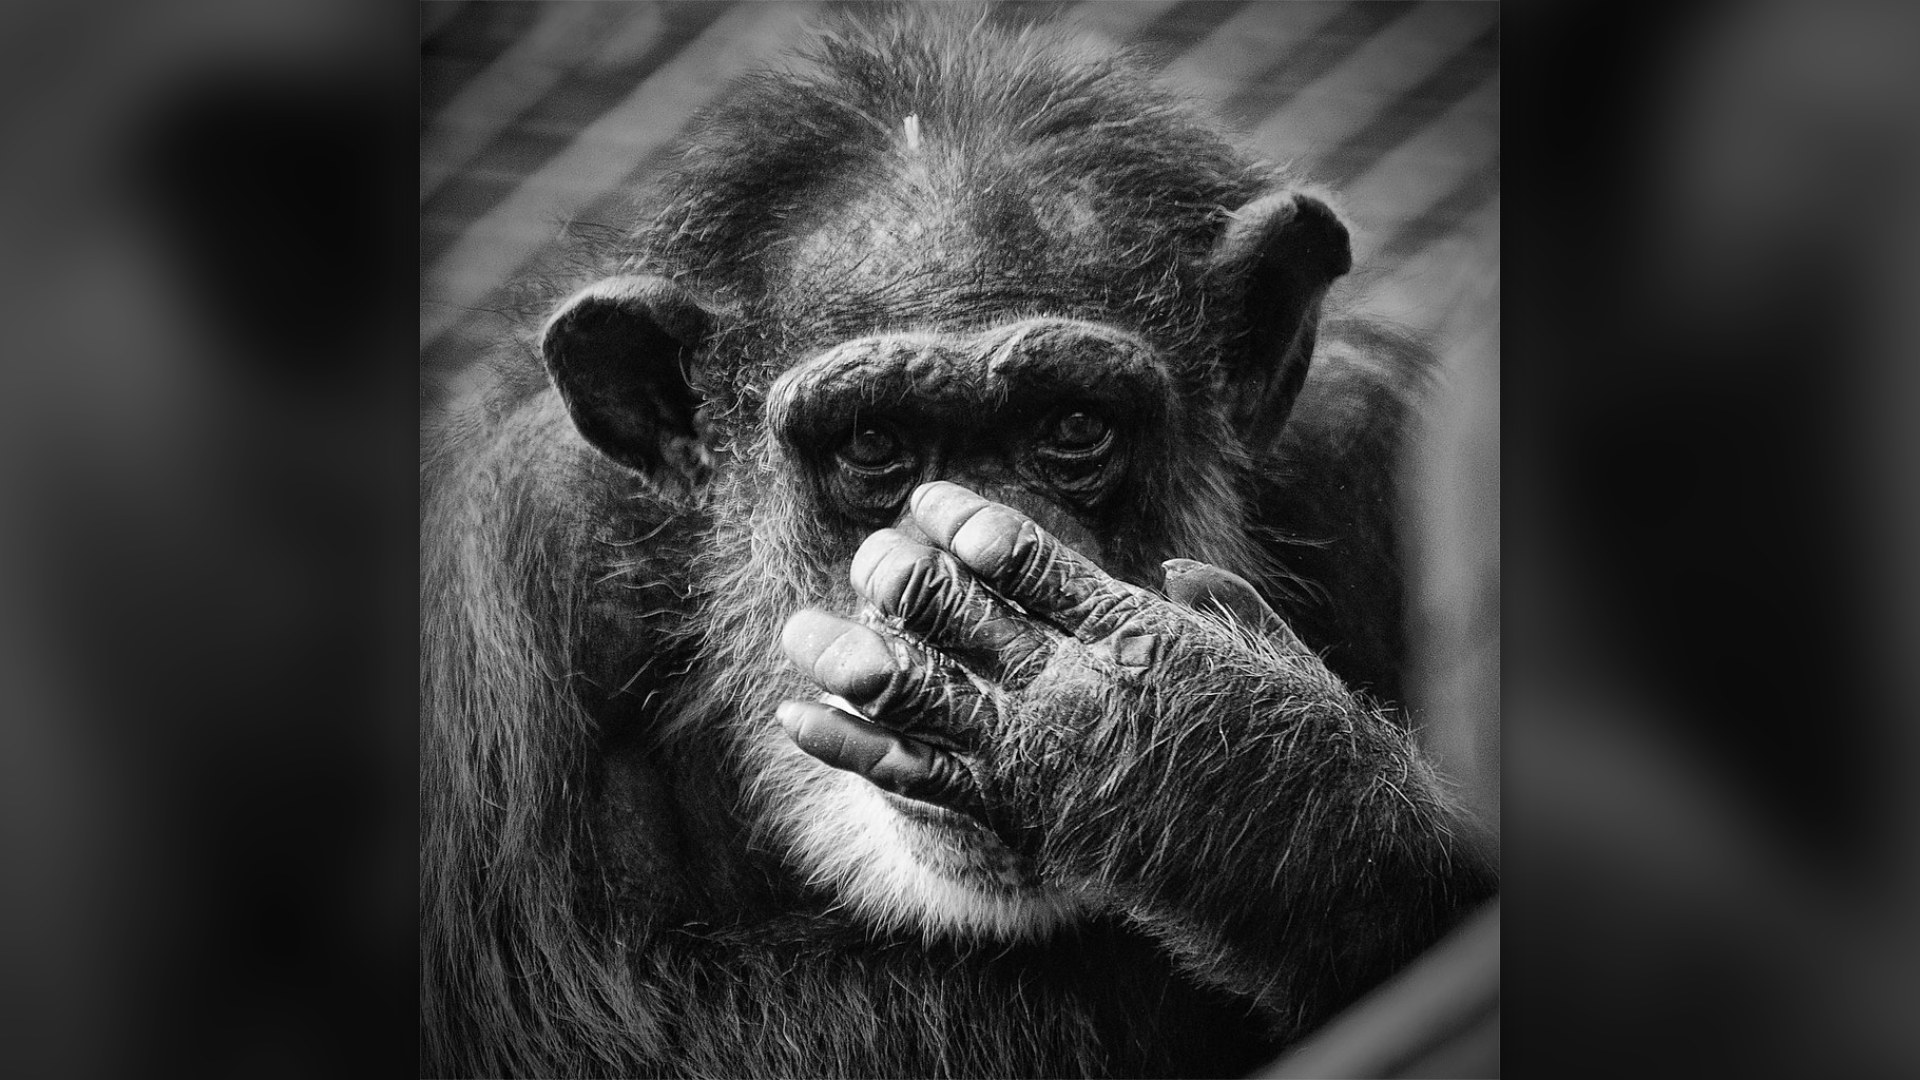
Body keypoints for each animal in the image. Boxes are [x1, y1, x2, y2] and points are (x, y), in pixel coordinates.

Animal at [421, 9, 1496, 1078]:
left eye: (1074, 425)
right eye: (871, 441)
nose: (966, 578)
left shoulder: (1375, 448)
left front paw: (1212, 771)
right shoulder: (527, 554)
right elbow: (600, 1025)